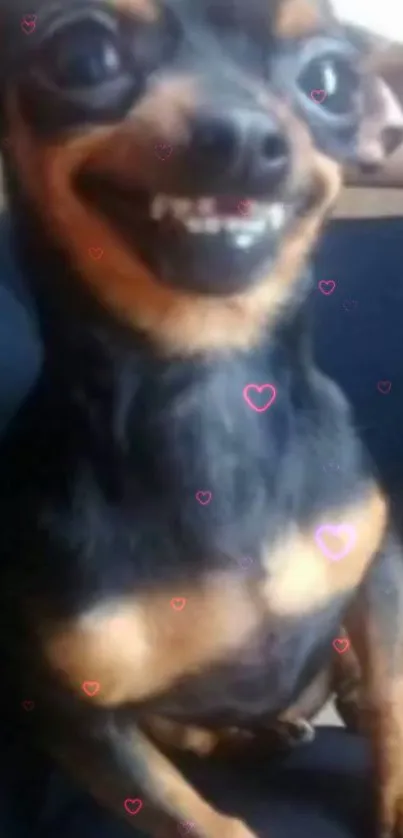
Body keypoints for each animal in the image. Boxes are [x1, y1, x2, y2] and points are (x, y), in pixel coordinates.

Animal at [2, 1, 403, 838]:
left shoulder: (378, 568)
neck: (212, 390)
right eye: (82, 55)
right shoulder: (70, 717)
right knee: (189, 733)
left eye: (328, 80)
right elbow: (193, 816)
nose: (244, 140)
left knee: (348, 681)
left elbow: (392, 702)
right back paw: (255, 736)